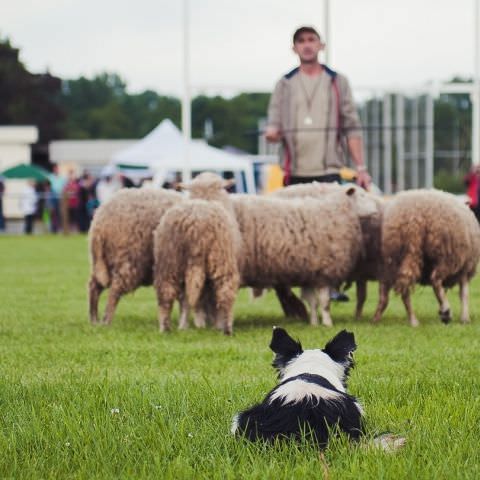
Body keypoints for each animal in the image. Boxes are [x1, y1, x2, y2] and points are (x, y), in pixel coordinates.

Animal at [87, 186, 183, 324]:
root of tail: (100, 222)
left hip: (103, 262)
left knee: (94, 286)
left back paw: (94, 320)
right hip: (131, 259)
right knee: (115, 289)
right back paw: (106, 321)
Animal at [372, 189, 480, 328]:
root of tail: (414, 219)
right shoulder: (465, 268)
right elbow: (464, 294)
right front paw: (464, 318)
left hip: (393, 259)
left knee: (390, 293)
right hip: (444, 255)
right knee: (435, 280)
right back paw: (446, 311)